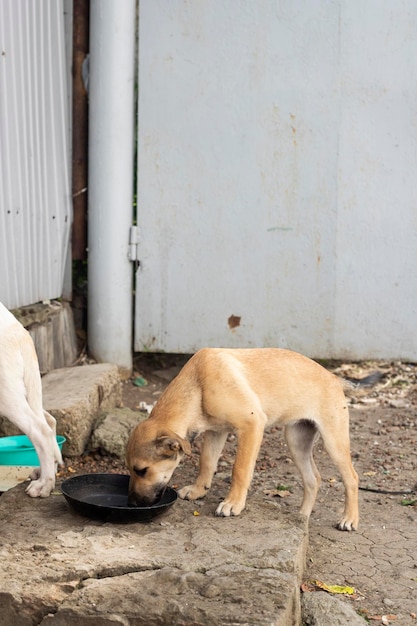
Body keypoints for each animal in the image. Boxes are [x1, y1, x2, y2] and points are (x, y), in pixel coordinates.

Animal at [125, 346, 360, 528]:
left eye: (142, 470)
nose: (132, 504)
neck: (198, 385)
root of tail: (335, 379)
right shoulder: (216, 431)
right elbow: (206, 462)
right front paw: (198, 490)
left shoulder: (251, 425)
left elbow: (239, 469)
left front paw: (233, 503)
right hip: (296, 442)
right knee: (313, 479)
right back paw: (302, 516)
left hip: (333, 441)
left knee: (352, 478)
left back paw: (349, 519)